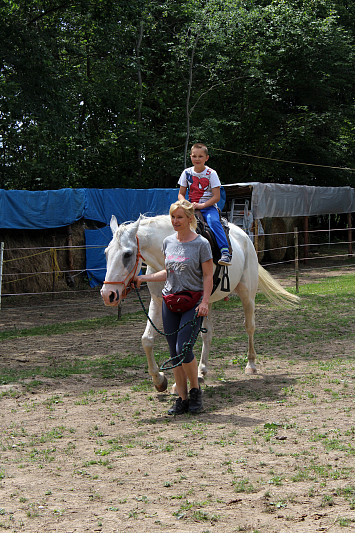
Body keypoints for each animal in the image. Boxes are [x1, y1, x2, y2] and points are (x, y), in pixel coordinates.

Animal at [101, 214, 300, 392]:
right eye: (106, 252)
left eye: (127, 254)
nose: (107, 294)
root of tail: (244, 237)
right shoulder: (158, 302)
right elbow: (147, 340)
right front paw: (160, 380)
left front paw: (176, 383)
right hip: (208, 303)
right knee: (208, 334)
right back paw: (201, 371)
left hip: (247, 295)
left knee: (249, 326)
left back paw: (250, 364)